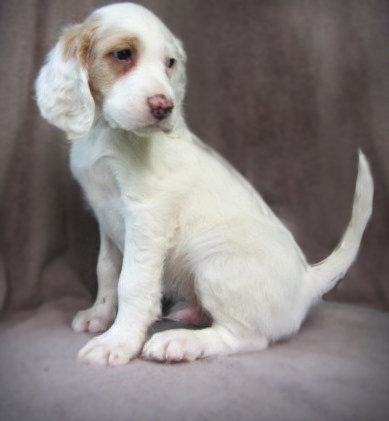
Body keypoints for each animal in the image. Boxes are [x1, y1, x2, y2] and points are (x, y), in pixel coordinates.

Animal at [35, 2, 372, 364]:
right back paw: (189, 315)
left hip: (216, 263)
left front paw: (118, 341)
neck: (108, 132)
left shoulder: (145, 217)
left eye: (169, 63)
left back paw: (182, 342)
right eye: (123, 54)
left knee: (245, 337)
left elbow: (132, 283)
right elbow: (107, 270)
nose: (164, 106)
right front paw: (99, 315)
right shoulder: (106, 218)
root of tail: (308, 280)